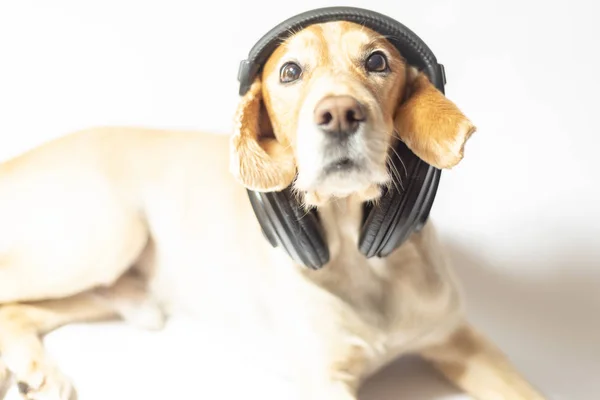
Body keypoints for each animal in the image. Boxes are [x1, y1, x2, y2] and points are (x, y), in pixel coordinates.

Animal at [0, 20, 548, 400]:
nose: (340, 113)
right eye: (289, 71)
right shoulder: (325, 380)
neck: (356, 254)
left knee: (19, 312)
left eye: (377, 61)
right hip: (105, 238)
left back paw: (34, 371)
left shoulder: (461, 339)